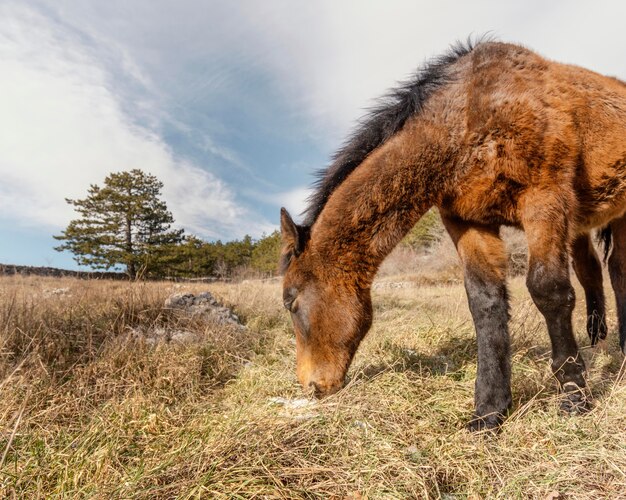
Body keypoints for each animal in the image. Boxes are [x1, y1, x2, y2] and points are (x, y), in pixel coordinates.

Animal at [280, 40, 624, 430]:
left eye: (291, 302)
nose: (312, 385)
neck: (470, 115)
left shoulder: (545, 201)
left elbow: (549, 290)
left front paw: (573, 396)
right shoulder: (467, 222)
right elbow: (486, 304)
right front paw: (489, 410)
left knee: (617, 271)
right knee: (595, 269)